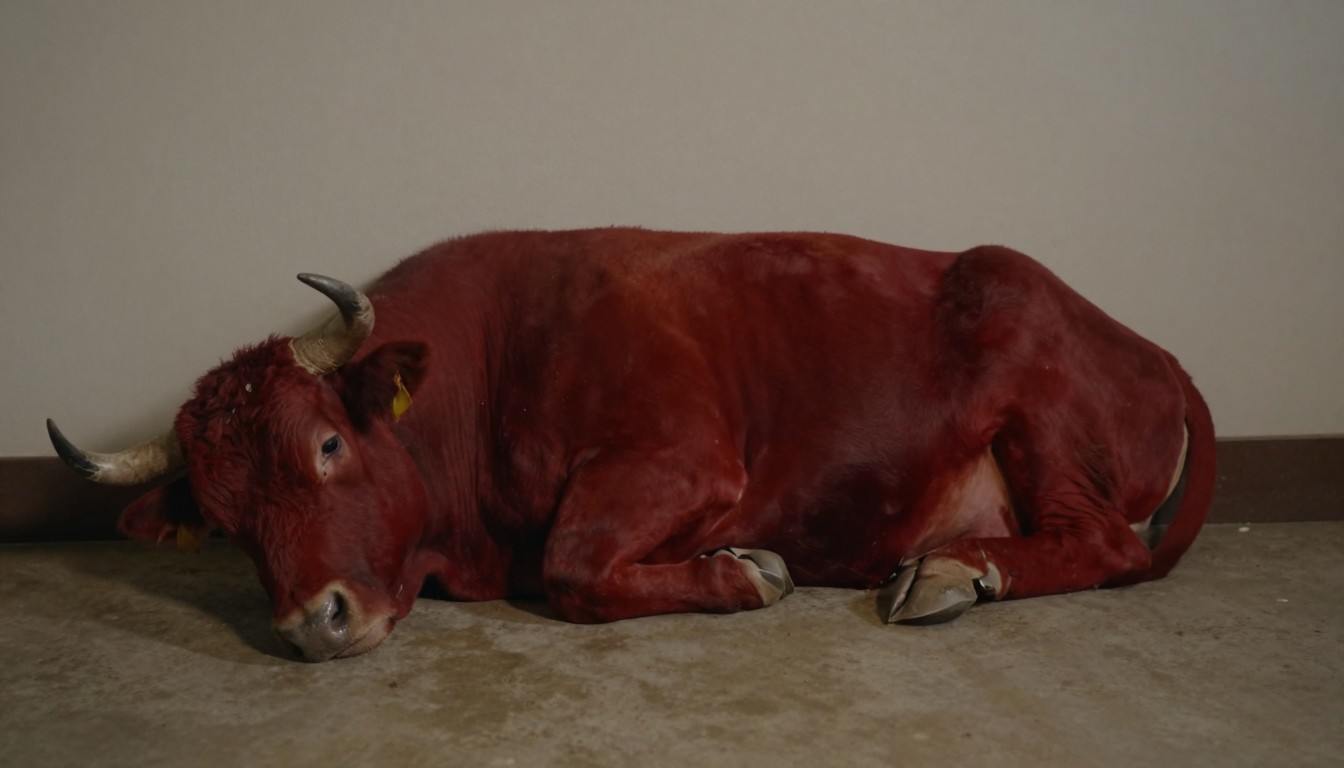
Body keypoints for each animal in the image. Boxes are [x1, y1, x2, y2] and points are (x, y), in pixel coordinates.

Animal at [48, 228, 1215, 662]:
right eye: (223, 516)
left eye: (330, 445)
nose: (315, 623)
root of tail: (1152, 346)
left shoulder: (684, 459)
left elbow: (575, 568)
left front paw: (745, 571)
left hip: (1046, 420)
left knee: (1103, 544)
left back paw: (951, 573)